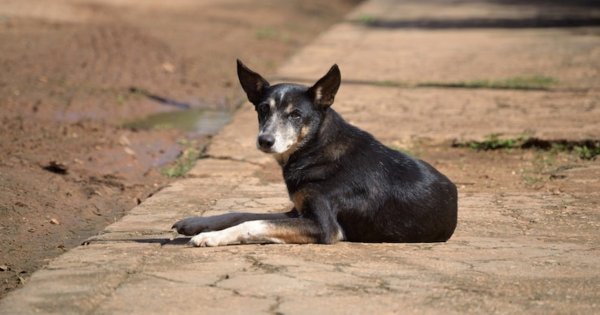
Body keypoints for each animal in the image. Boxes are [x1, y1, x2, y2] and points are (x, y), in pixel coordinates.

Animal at [171, 59, 458, 247]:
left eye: (296, 115)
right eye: (263, 109)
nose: (265, 141)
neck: (316, 149)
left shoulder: (323, 226)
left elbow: (253, 224)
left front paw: (210, 236)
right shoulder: (297, 211)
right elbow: (241, 214)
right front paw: (195, 222)